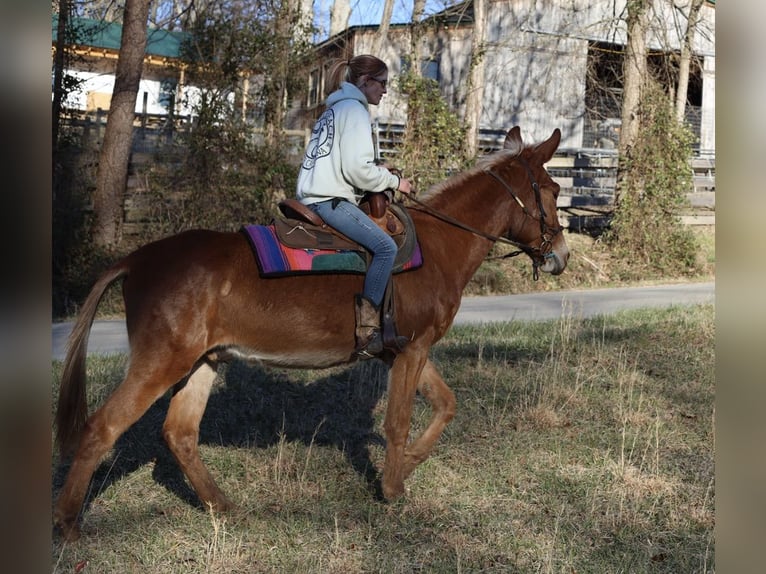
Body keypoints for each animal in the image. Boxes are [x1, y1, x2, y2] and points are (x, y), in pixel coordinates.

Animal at [55, 125, 568, 540]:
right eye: (551, 189)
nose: (560, 256)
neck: (438, 246)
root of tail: (137, 260)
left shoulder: (406, 350)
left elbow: (446, 404)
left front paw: (407, 466)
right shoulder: (412, 350)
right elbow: (399, 421)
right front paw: (392, 487)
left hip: (202, 361)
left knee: (179, 433)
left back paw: (221, 506)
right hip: (161, 362)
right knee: (102, 428)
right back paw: (69, 525)